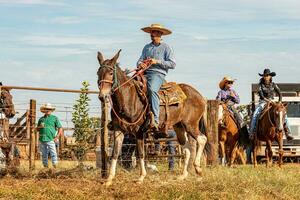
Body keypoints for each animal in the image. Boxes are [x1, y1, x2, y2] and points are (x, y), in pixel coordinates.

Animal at [97, 50, 207, 186]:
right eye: (98, 73)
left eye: (111, 73)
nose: (102, 96)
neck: (129, 98)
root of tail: (201, 96)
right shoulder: (118, 130)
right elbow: (115, 153)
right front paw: (109, 179)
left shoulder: (138, 131)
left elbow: (140, 153)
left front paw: (141, 177)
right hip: (179, 126)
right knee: (186, 148)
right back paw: (183, 175)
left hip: (191, 124)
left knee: (201, 139)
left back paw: (198, 170)